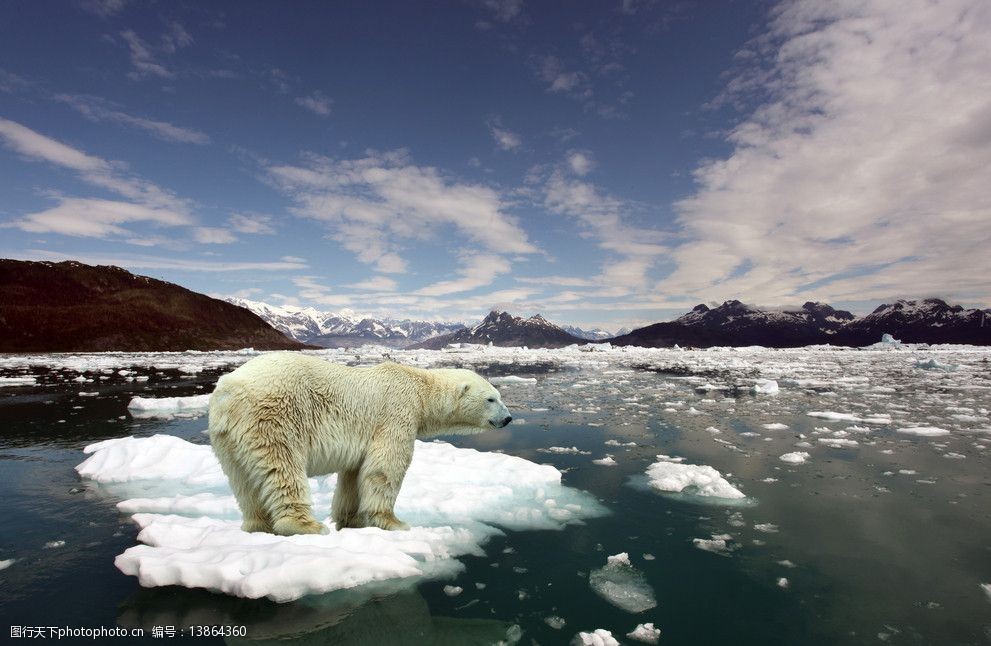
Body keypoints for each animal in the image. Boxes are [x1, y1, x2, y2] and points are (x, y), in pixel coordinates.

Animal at [208, 354, 512, 536]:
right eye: (491, 399)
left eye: (498, 396)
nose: (508, 418)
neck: (420, 388)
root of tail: (228, 390)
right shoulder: (396, 412)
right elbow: (385, 467)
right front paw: (394, 522)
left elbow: (354, 475)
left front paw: (351, 520)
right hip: (273, 416)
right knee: (282, 467)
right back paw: (306, 525)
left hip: (227, 438)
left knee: (243, 481)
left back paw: (257, 525)